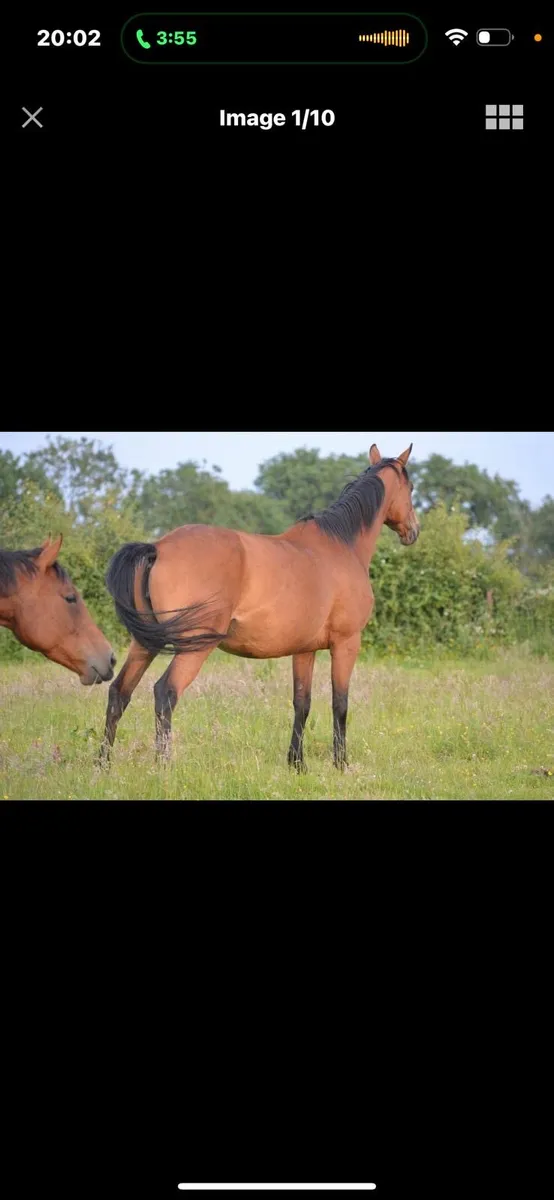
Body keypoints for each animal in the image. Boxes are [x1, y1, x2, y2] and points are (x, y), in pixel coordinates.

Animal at [101, 443, 419, 772]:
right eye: (410, 487)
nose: (413, 530)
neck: (341, 546)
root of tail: (158, 548)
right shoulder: (346, 643)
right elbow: (340, 703)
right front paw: (341, 764)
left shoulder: (304, 650)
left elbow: (302, 703)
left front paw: (297, 764)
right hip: (193, 647)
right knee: (165, 693)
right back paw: (163, 766)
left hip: (145, 643)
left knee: (119, 693)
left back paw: (103, 764)